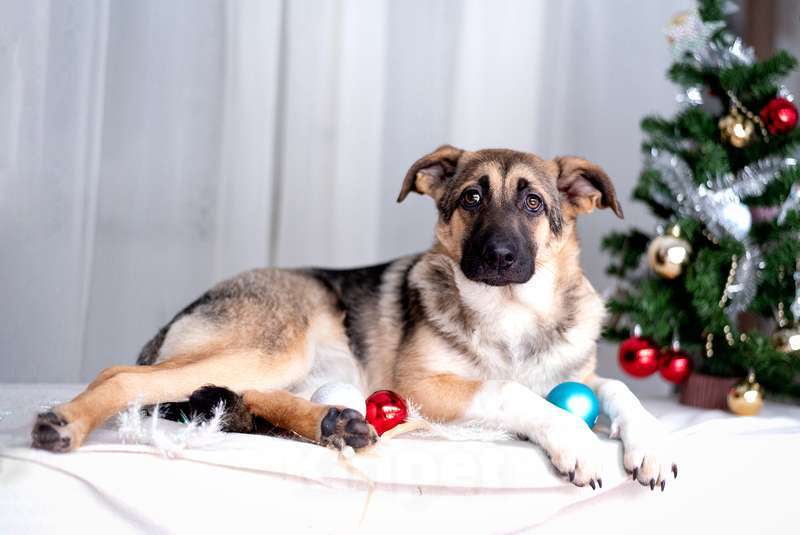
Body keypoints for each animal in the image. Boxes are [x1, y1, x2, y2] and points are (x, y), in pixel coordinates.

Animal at [36, 146, 676, 490]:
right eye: (471, 198)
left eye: (534, 203)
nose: (498, 257)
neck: (512, 313)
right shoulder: (422, 386)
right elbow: (513, 392)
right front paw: (578, 441)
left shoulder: (577, 374)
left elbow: (615, 386)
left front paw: (650, 443)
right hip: (271, 346)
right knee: (122, 377)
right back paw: (64, 422)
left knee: (241, 399)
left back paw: (335, 424)